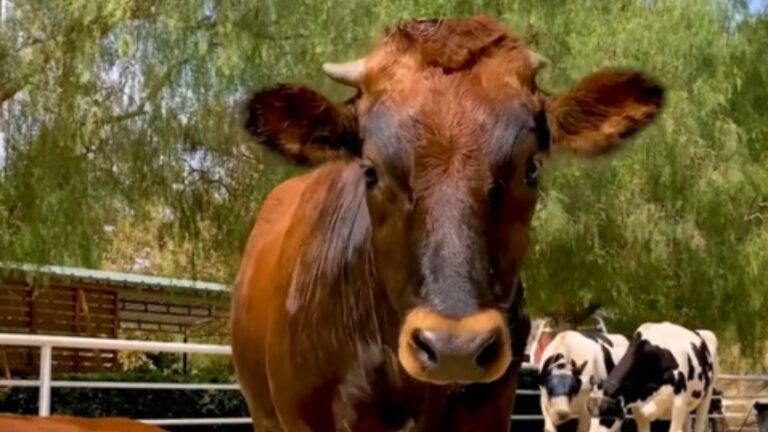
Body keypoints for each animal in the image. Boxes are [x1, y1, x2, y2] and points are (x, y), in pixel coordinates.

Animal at [588, 322, 718, 432]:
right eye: (589, 410)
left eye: (608, 413)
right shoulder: (638, 409)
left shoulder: (679, 403)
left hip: (706, 397)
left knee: (699, 425)